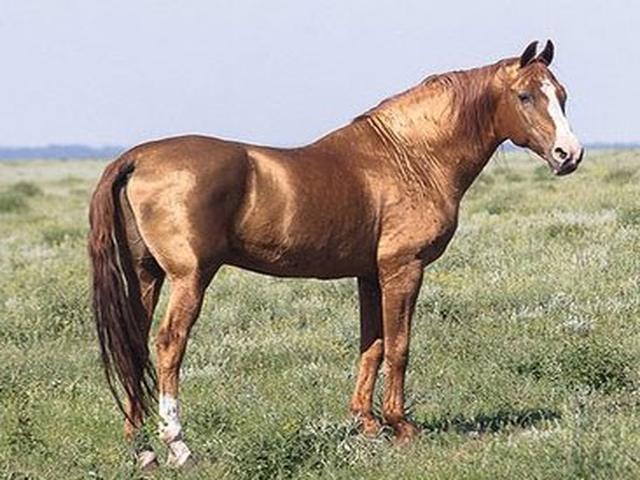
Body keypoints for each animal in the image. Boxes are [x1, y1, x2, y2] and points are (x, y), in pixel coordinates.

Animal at [88, 40, 583, 468]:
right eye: (525, 95)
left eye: (561, 95)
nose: (569, 154)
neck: (411, 157)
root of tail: (137, 158)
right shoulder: (403, 269)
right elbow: (399, 346)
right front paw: (402, 426)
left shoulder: (369, 275)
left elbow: (372, 346)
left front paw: (367, 423)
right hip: (189, 278)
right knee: (169, 345)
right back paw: (178, 445)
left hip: (146, 276)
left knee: (134, 344)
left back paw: (143, 448)